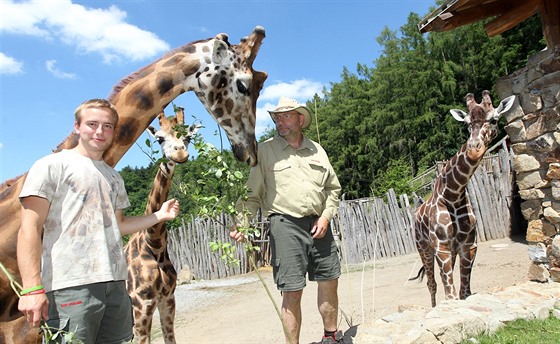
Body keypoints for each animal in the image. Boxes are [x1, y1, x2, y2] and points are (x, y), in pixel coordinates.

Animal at [125, 106, 199, 342]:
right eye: (159, 138)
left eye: (188, 137)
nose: (180, 154)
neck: (154, 243)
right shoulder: (141, 306)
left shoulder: (168, 299)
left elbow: (170, 338)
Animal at [414, 90, 516, 306]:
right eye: (467, 123)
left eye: (494, 120)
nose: (473, 148)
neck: (453, 194)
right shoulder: (441, 247)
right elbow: (450, 295)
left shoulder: (468, 245)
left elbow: (464, 293)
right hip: (424, 248)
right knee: (431, 284)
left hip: (448, 251)